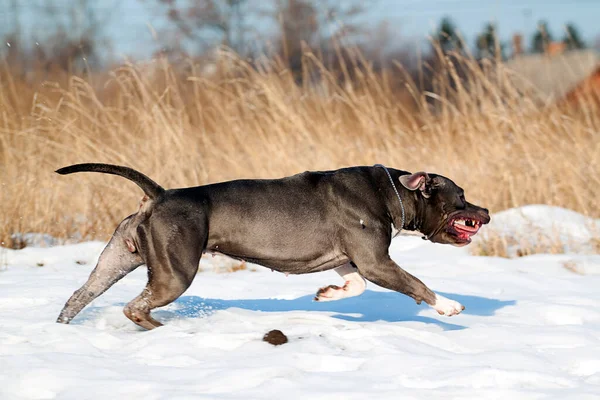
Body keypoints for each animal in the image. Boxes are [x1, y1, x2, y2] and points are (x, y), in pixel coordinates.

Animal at [55, 164, 488, 330]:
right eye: (461, 197)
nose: (485, 210)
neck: (393, 193)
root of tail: (159, 196)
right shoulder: (375, 260)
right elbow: (415, 284)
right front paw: (449, 306)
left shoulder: (351, 258)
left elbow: (356, 284)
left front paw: (327, 294)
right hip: (175, 272)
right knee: (136, 306)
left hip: (114, 261)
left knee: (79, 297)